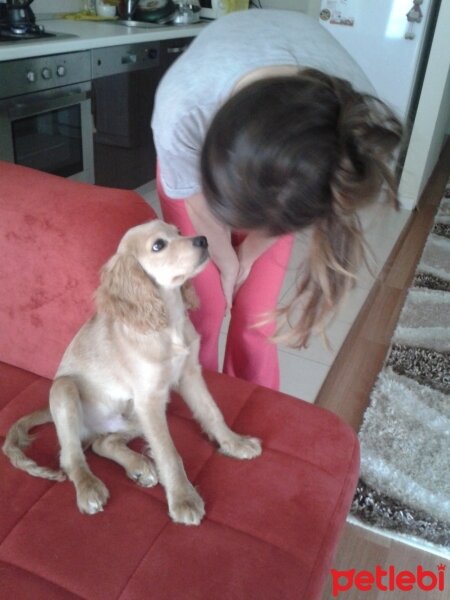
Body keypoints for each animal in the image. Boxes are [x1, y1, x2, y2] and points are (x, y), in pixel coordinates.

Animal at [3, 219, 262, 524]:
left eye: (177, 231)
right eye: (158, 245)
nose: (203, 240)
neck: (168, 322)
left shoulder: (188, 376)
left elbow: (212, 413)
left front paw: (235, 443)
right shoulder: (149, 399)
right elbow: (168, 452)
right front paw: (183, 499)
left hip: (139, 414)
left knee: (103, 443)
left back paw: (139, 466)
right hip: (66, 390)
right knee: (71, 456)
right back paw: (89, 488)